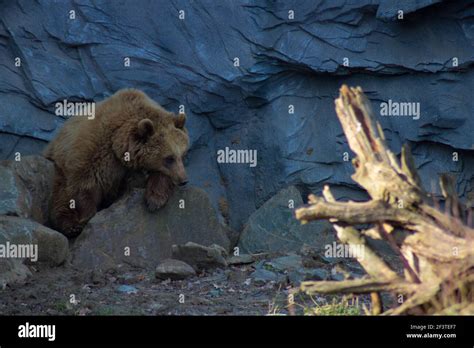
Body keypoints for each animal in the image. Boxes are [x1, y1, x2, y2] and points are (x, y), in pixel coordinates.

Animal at [44, 88, 189, 238]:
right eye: (169, 158)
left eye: (183, 154)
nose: (184, 180)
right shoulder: (92, 153)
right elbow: (83, 186)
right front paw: (85, 219)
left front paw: (155, 199)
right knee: (60, 195)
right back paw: (70, 225)